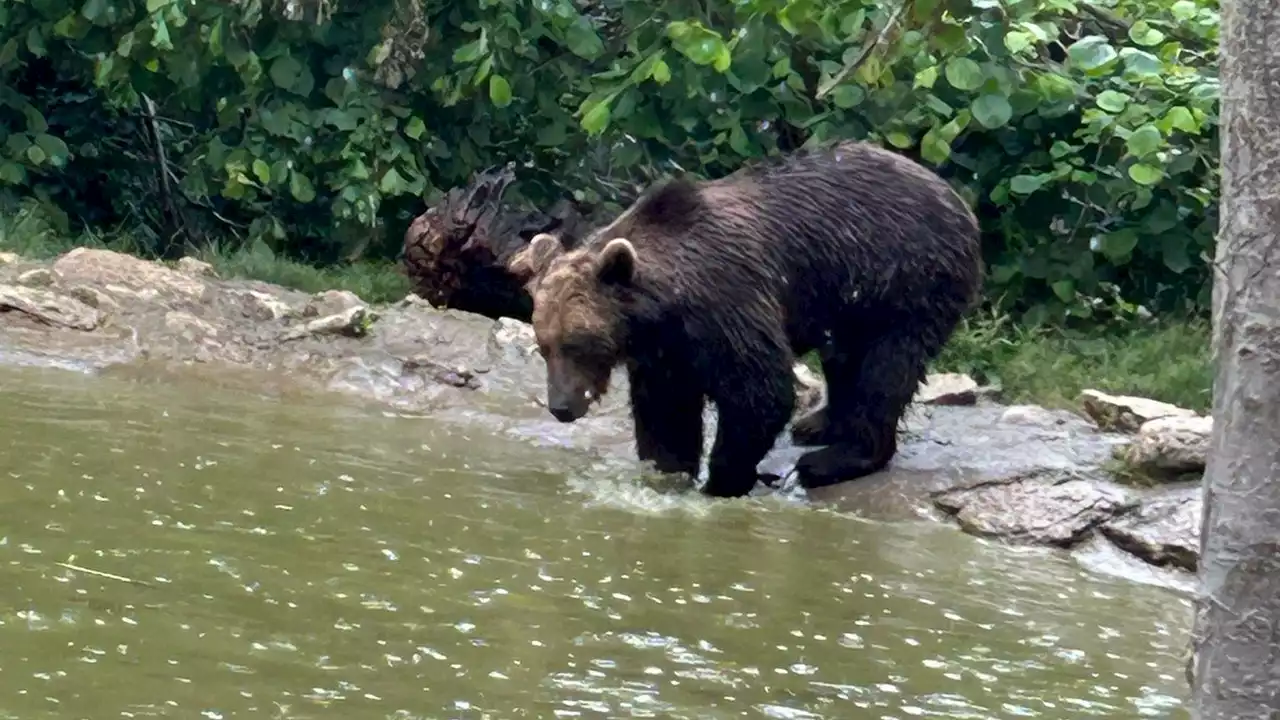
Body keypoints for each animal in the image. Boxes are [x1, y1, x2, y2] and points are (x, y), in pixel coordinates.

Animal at [509, 140, 977, 499]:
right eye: (544, 345)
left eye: (579, 343)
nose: (561, 407)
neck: (664, 307)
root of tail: (957, 201)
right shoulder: (666, 349)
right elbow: (667, 410)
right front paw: (669, 469)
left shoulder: (728, 304)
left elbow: (759, 390)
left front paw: (721, 480)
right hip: (849, 299)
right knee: (844, 358)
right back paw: (820, 424)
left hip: (902, 280)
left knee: (886, 367)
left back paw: (833, 459)